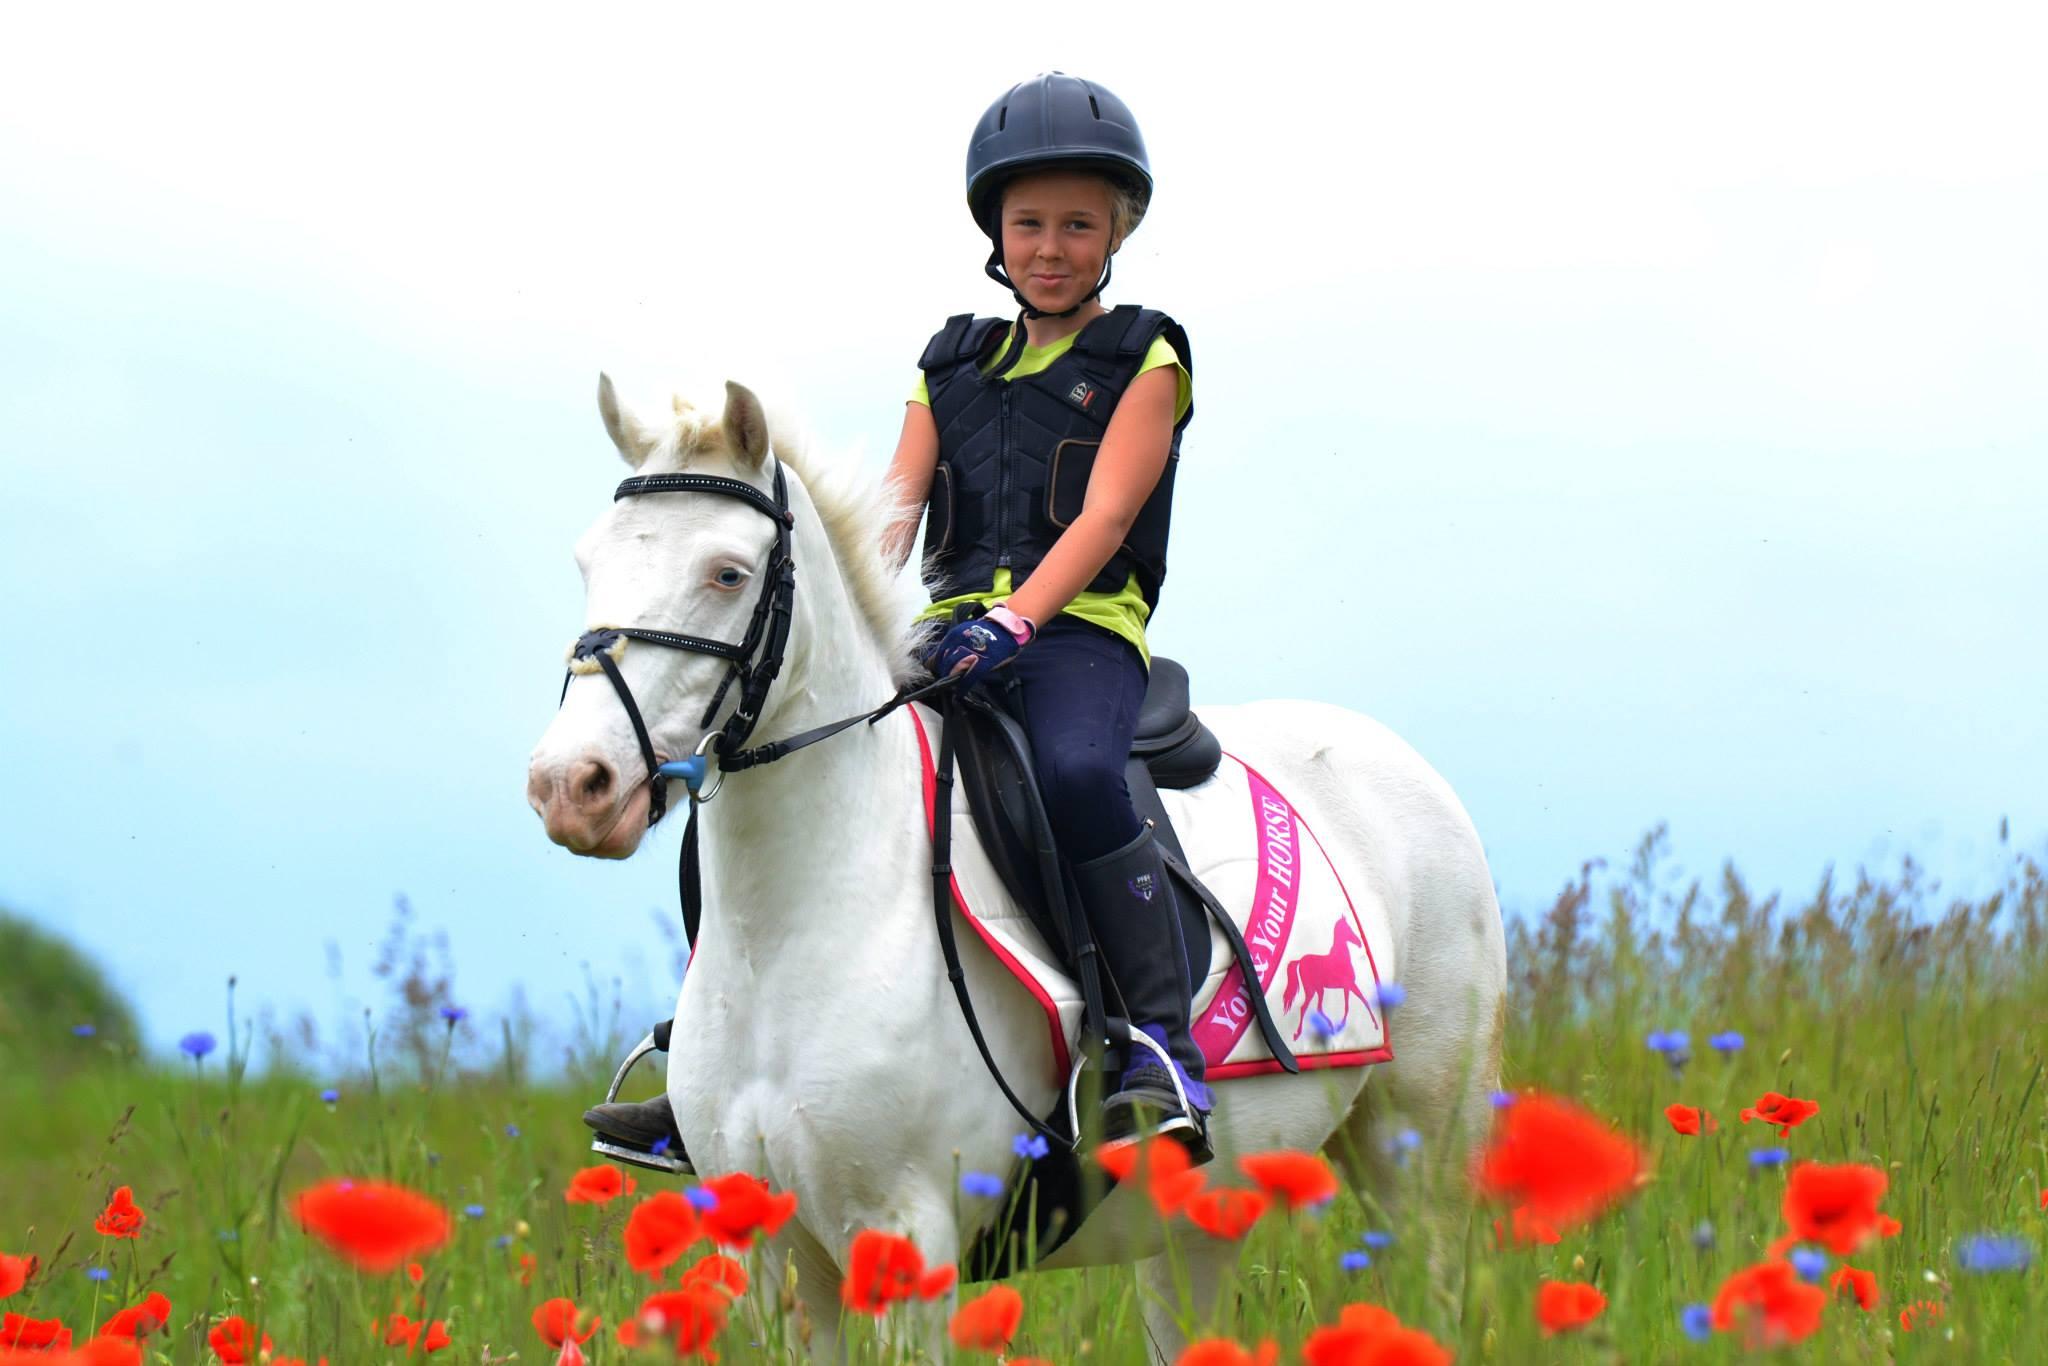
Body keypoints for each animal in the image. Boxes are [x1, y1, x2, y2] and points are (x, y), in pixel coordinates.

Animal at [525, 377, 1509, 1359]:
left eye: (727, 573)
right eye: (586, 564)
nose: (570, 786)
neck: (795, 933)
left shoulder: (907, 1239)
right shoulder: (781, 1263)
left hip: (1422, 1151)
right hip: (1197, 1224)